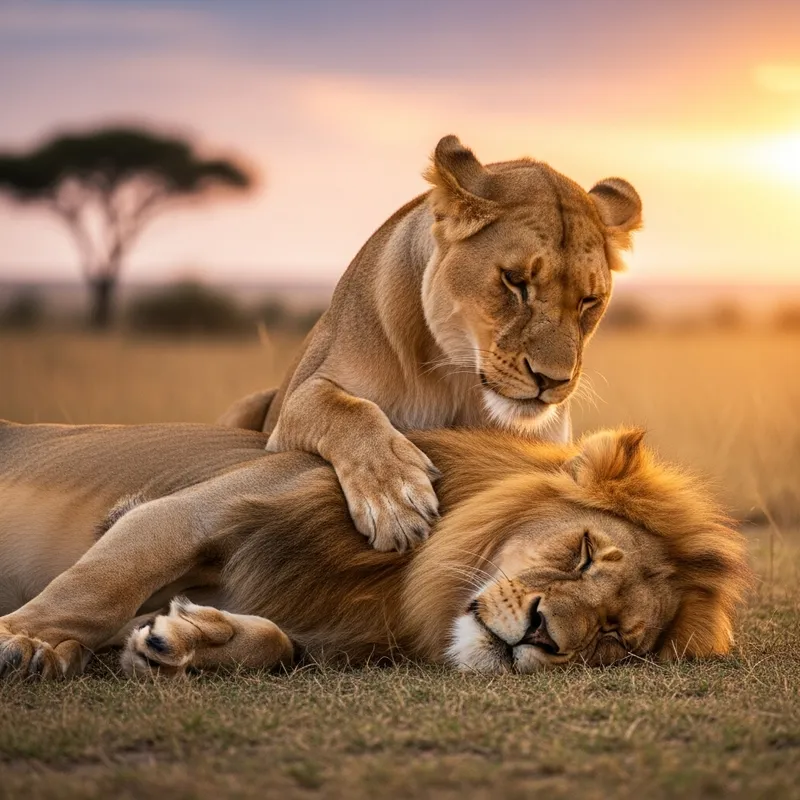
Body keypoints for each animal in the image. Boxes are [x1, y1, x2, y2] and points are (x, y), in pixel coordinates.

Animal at [0, 420, 749, 679]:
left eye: (614, 638)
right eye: (585, 552)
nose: (542, 634)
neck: (396, 583)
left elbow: (279, 644)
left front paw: (182, 642)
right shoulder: (186, 512)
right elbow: (101, 584)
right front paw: (25, 640)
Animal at [220, 135, 643, 553]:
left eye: (590, 300)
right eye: (514, 280)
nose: (552, 380)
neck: (457, 380)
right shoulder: (300, 397)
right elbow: (346, 410)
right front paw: (395, 499)